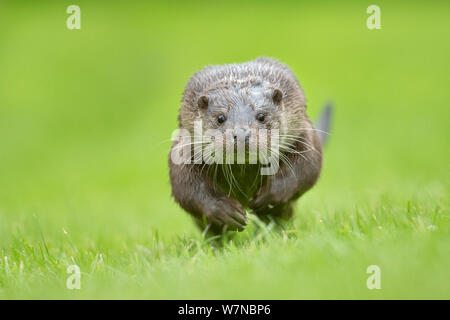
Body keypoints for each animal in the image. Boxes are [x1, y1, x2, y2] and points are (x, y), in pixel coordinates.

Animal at [169, 57, 330, 235]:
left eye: (261, 116)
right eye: (220, 118)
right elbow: (187, 187)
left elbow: (305, 169)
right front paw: (224, 210)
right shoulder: (184, 148)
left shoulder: (302, 135)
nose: (241, 134)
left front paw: (270, 195)